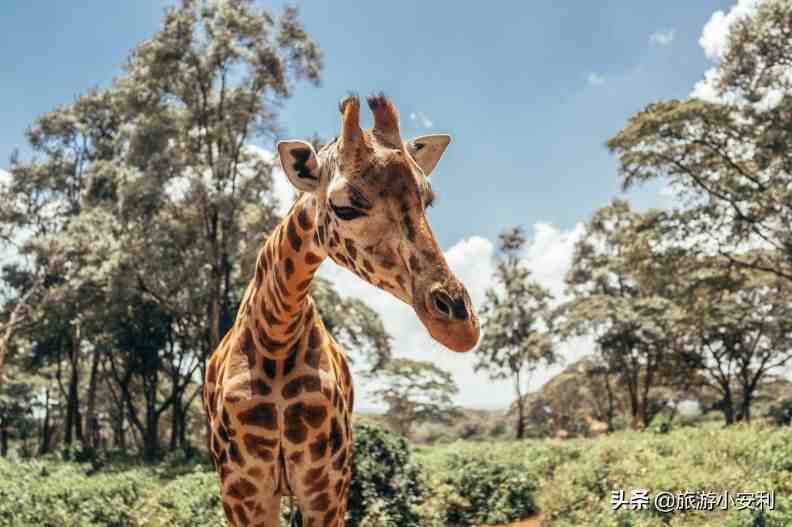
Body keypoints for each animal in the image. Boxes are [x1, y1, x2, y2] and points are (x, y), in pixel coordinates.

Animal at [201, 93, 480, 524]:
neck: (276, 337)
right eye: (345, 207)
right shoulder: (243, 491)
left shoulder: (326, 485)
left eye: (427, 199)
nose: (461, 326)